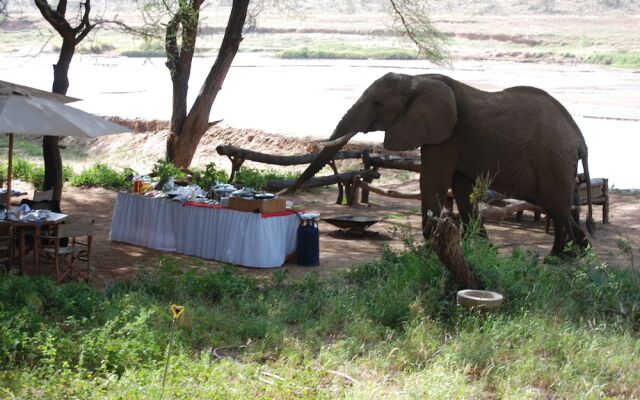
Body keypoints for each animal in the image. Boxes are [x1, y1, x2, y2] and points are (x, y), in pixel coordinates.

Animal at [286, 73, 596, 255]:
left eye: (377, 103)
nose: (286, 194)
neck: (416, 79)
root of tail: (580, 138)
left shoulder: (447, 134)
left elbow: (434, 180)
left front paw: (431, 248)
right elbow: (461, 188)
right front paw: (480, 247)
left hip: (553, 160)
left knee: (555, 205)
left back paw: (561, 259)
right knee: (556, 206)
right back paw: (578, 252)